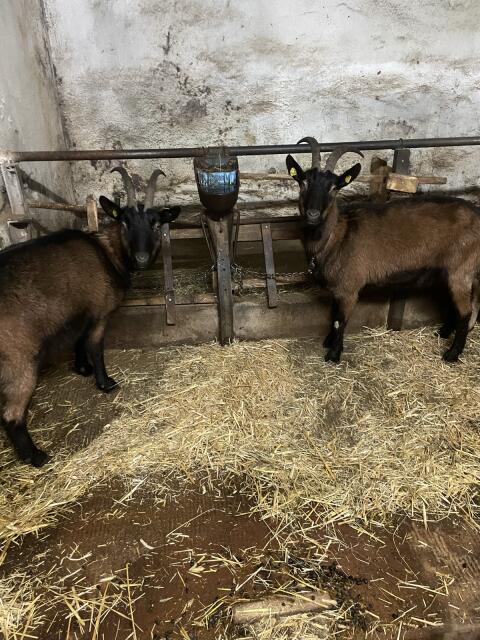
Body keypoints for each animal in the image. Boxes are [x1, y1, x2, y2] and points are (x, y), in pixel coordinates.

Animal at [0, 167, 180, 467]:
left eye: (156, 224)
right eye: (124, 222)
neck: (106, 253)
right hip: (18, 359)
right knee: (11, 414)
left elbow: (78, 339)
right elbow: (94, 346)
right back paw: (37, 457)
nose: (142, 258)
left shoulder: (79, 312)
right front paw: (105, 383)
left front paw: (81, 368)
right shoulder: (100, 311)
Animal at [286, 137, 480, 363]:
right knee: (453, 306)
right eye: (303, 182)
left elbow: (340, 320)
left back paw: (451, 354)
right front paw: (329, 342)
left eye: (334, 187)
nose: (313, 214)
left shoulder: (349, 287)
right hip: (448, 271)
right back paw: (443, 332)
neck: (338, 236)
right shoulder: (337, 287)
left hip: (461, 269)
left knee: (465, 312)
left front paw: (334, 354)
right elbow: (334, 315)